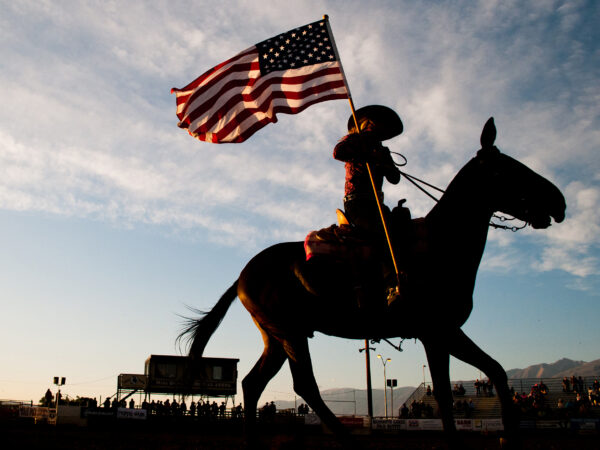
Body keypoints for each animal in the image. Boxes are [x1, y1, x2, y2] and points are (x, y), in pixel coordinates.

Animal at [180, 118, 564, 448]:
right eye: (507, 168)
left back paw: (253, 444)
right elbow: (450, 390)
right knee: (305, 384)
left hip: (275, 337)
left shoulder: (443, 332)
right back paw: (348, 441)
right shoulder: (438, 330)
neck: (439, 244)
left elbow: (490, 374)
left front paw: (504, 437)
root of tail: (244, 275)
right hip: (289, 333)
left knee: (253, 383)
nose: (559, 201)